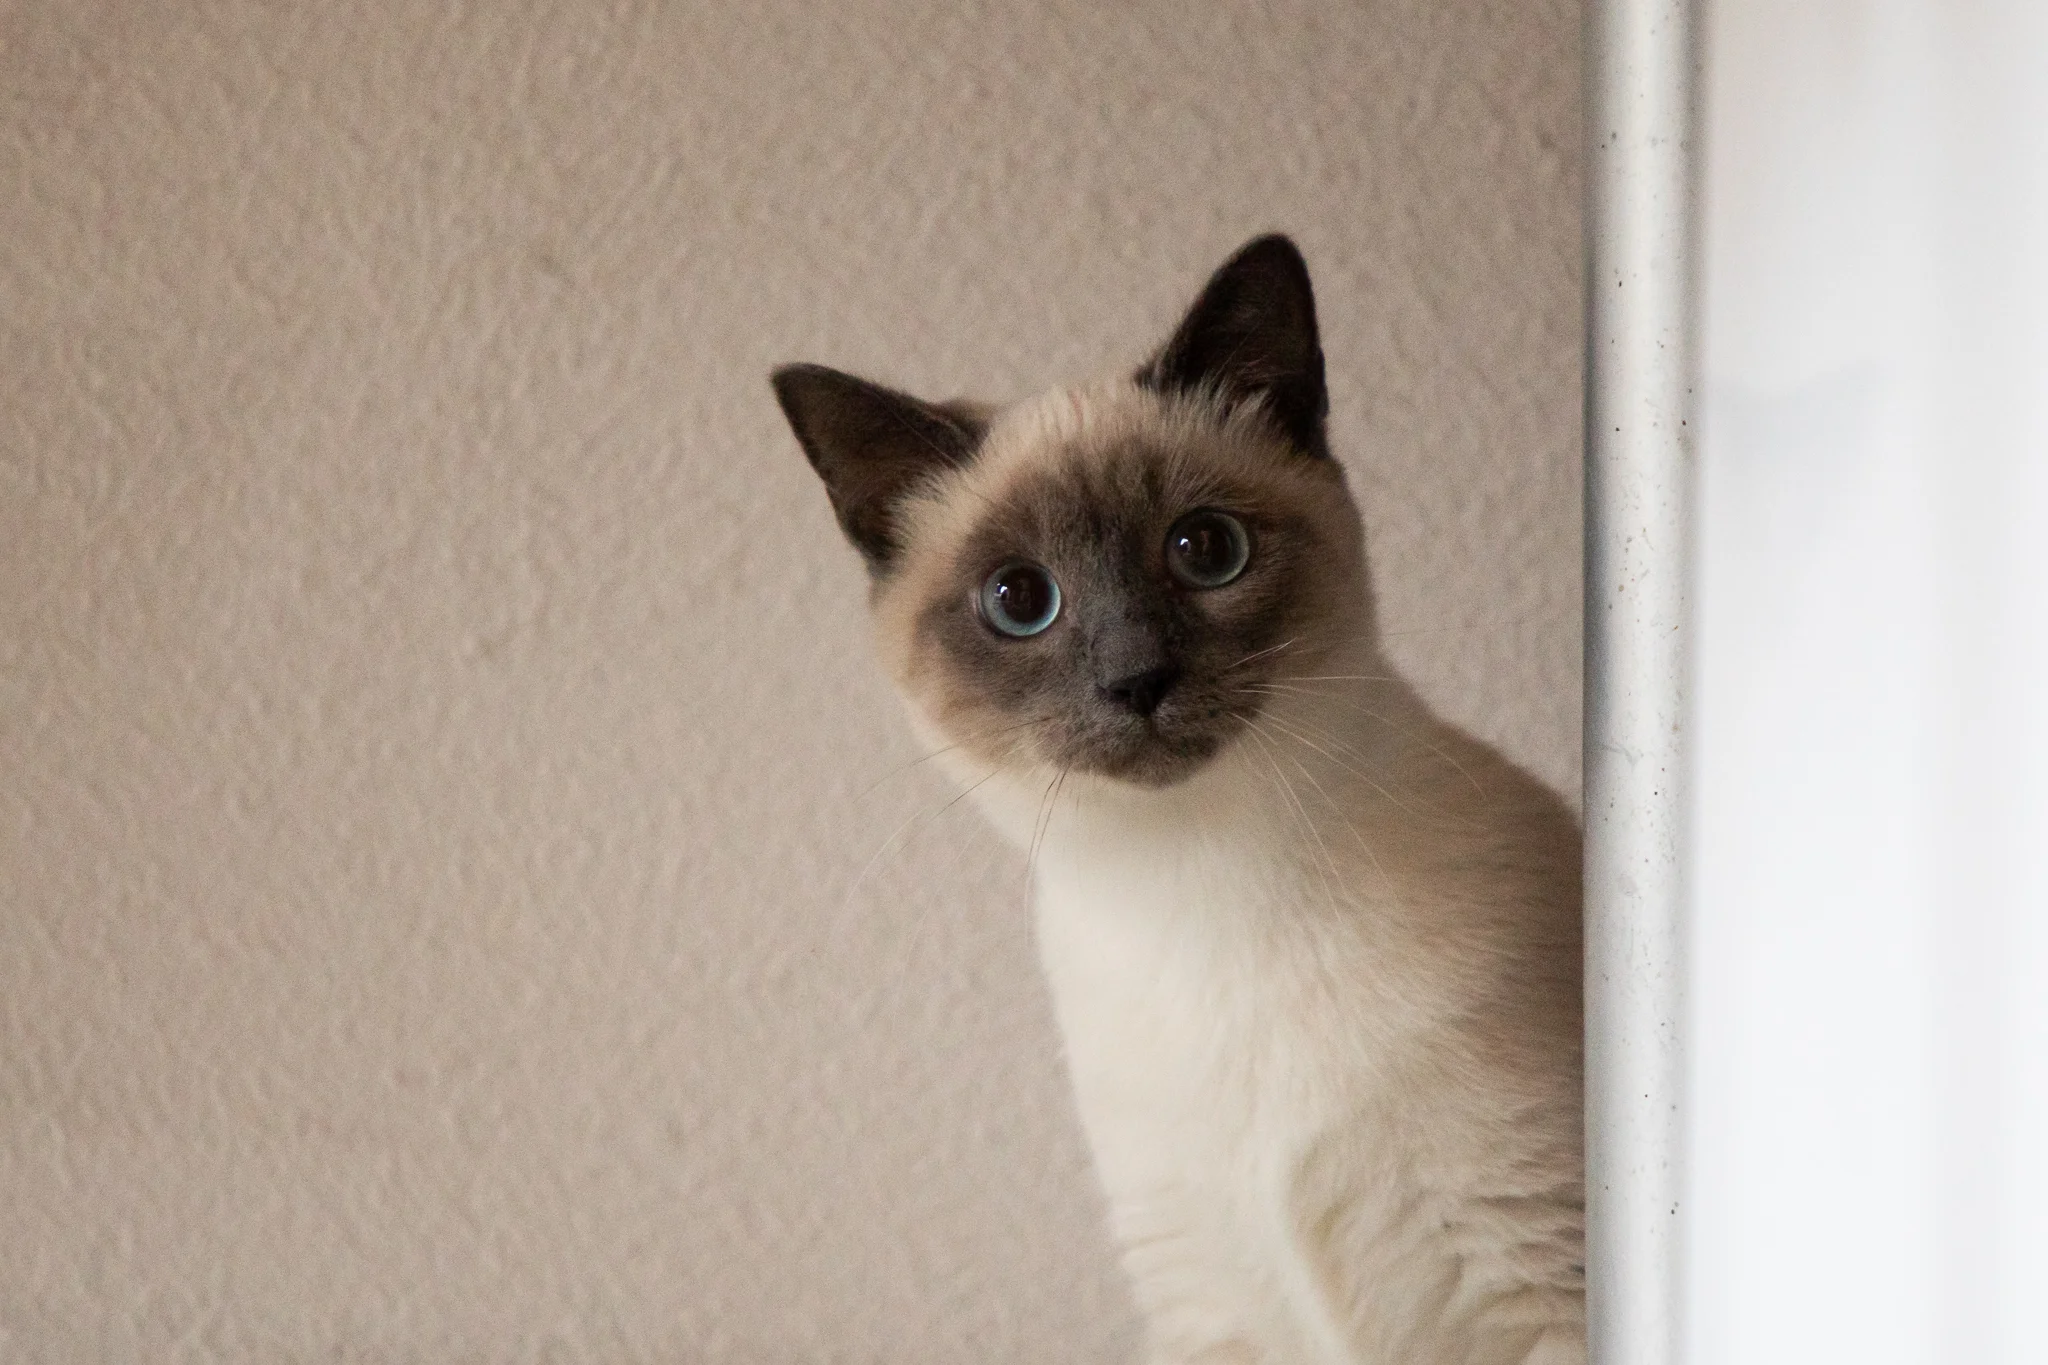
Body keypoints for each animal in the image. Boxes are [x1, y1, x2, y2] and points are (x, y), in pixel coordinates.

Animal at [770, 237, 1581, 1365]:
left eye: (1204, 550)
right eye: (1018, 601)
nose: (1136, 681)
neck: (1199, 880)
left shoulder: (1535, 1262)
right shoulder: (1204, 1304)